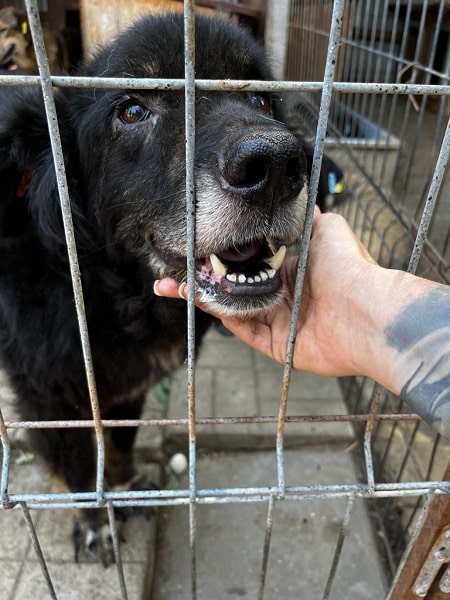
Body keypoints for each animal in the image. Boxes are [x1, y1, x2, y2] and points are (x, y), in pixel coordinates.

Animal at [0, 12, 333, 562]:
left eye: (260, 99)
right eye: (133, 110)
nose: (275, 166)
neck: (105, 294)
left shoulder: (127, 387)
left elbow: (119, 442)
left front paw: (125, 485)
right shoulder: (51, 397)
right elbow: (80, 467)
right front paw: (97, 521)